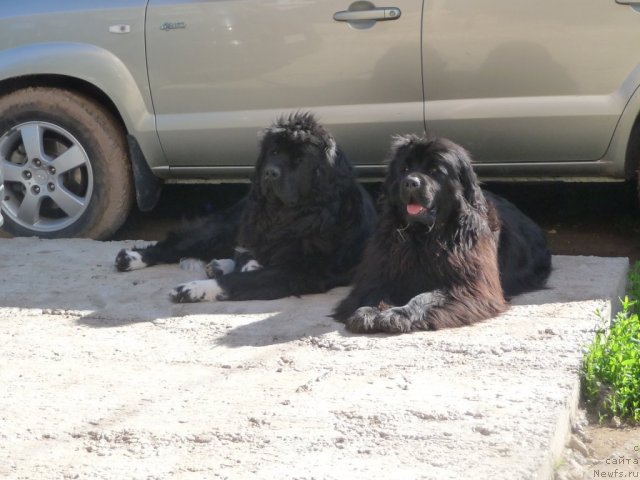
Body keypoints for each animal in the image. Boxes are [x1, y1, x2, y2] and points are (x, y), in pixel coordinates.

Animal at [116, 112, 376, 300]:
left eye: (299, 160)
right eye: (274, 152)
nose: (270, 173)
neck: (287, 217)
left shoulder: (297, 270)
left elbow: (239, 279)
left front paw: (193, 289)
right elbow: (244, 260)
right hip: (226, 226)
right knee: (178, 243)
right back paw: (131, 258)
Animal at [332, 135, 552, 334]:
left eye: (434, 171)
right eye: (405, 169)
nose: (410, 182)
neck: (424, 236)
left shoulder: (467, 285)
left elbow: (426, 297)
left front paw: (398, 315)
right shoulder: (381, 272)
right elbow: (374, 292)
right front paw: (366, 313)